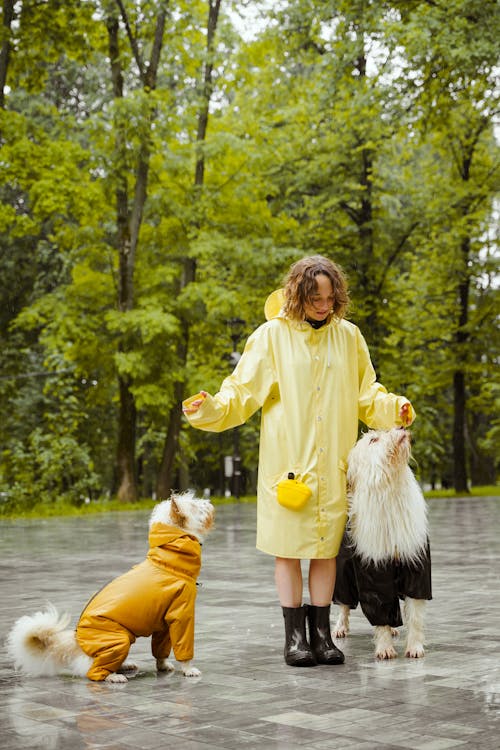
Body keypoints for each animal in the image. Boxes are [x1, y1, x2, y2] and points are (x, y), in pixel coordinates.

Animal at [7, 490, 215, 684]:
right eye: (194, 506)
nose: (209, 502)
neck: (166, 562)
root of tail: (77, 641)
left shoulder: (164, 622)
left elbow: (161, 649)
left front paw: (162, 665)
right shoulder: (181, 615)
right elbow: (183, 647)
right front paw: (188, 669)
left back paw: (125, 665)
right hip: (118, 640)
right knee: (93, 672)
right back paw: (113, 676)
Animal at [332, 432, 430, 660]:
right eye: (373, 440)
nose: (402, 429)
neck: (390, 489)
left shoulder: (416, 566)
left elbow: (415, 614)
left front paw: (415, 647)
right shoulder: (374, 571)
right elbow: (379, 607)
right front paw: (385, 648)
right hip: (343, 573)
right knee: (343, 604)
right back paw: (340, 627)